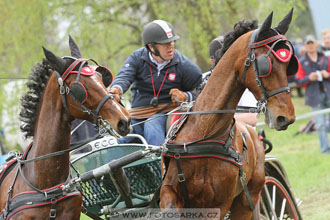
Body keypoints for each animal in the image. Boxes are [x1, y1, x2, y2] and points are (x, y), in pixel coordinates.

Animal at [161, 9, 298, 219]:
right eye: (266, 65)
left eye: (289, 65)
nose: (285, 117)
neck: (203, 134)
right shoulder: (169, 193)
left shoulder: (219, 204)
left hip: (247, 199)